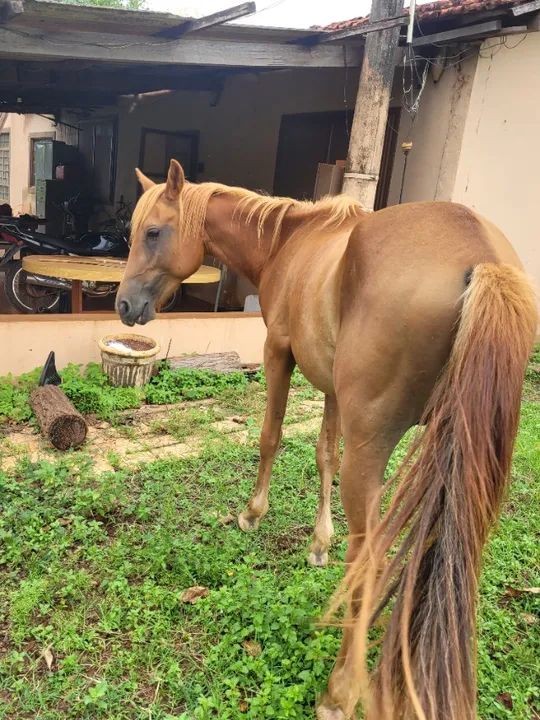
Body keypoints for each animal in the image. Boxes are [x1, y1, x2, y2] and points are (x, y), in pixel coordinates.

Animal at [116, 159, 537, 720]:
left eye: (153, 232)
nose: (123, 305)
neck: (289, 240)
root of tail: (481, 257)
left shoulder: (279, 353)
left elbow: (271, 436)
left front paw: (252, 514)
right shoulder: (333, 389)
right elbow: (323, 457)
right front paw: (319, 543)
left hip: (374, 448)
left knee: (369, 559)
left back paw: (340, 690)